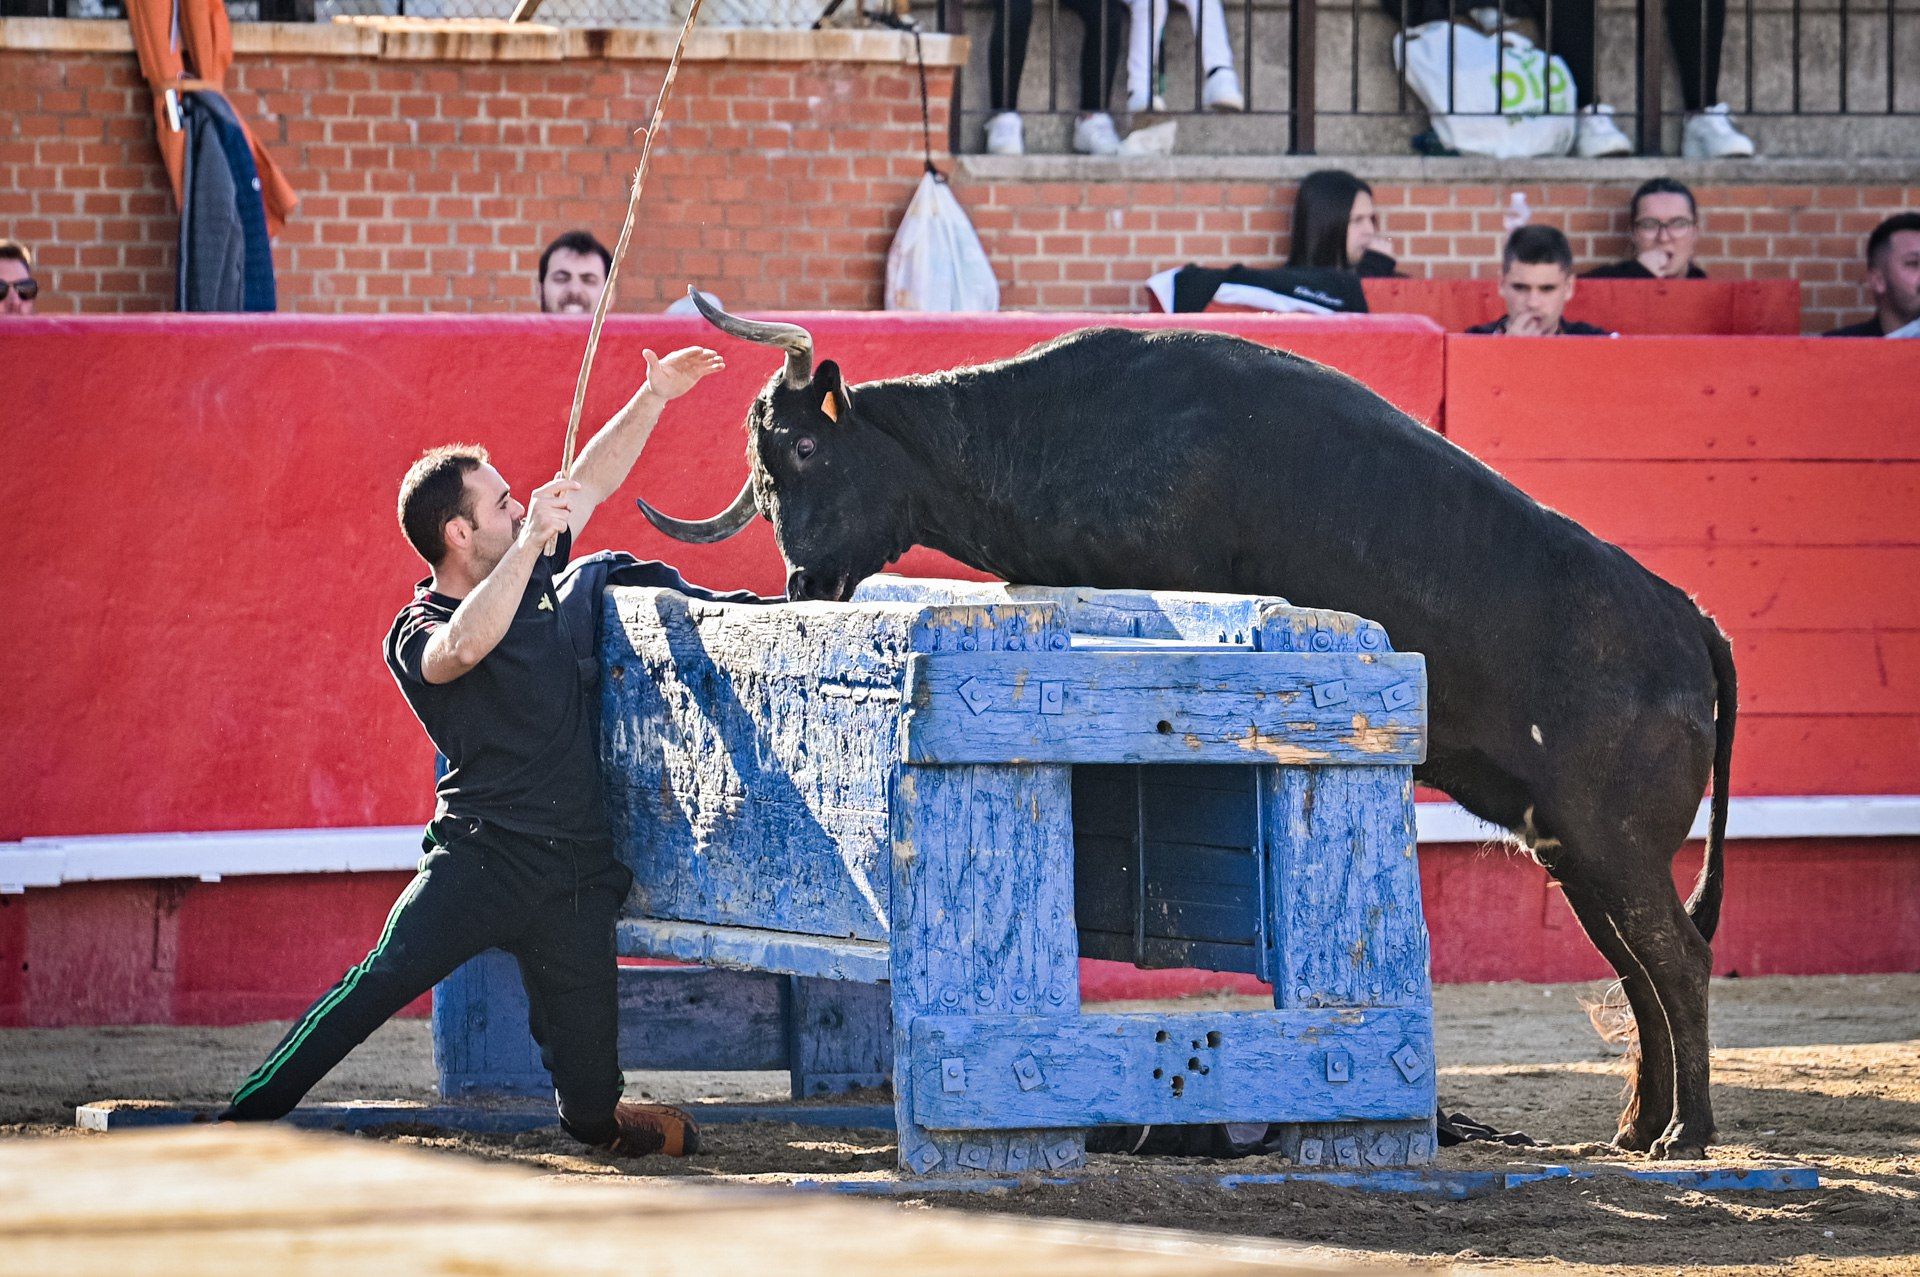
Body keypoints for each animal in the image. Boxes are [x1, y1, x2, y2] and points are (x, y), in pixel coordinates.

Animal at [648, 295, 1743, 1152]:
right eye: (765, 473)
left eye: (803, 446)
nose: (801, 583)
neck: (1048, 434)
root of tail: (1691, 619)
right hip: (1570, 846)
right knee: (1639, 966)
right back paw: (1639, 1127)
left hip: (1612, 840)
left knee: (1677, 957)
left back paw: (1686, 1133)